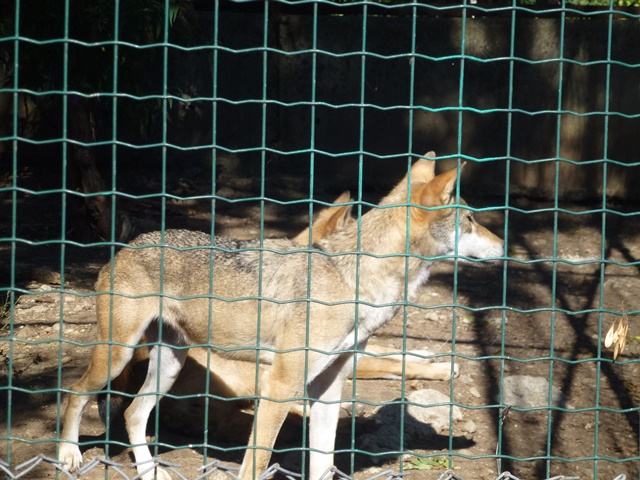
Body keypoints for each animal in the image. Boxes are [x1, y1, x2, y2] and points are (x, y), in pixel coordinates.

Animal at [58, 152, 503, 480]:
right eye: (470, 220)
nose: (503, 245)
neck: (352, 278)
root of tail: (126, 246)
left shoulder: (328, 387)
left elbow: (323, 464)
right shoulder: (280, 386)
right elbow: (254, 464)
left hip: (169, 364)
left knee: (133, 414)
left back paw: (150, 471)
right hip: (116, 355)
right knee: (75, 394)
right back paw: (68, 456)